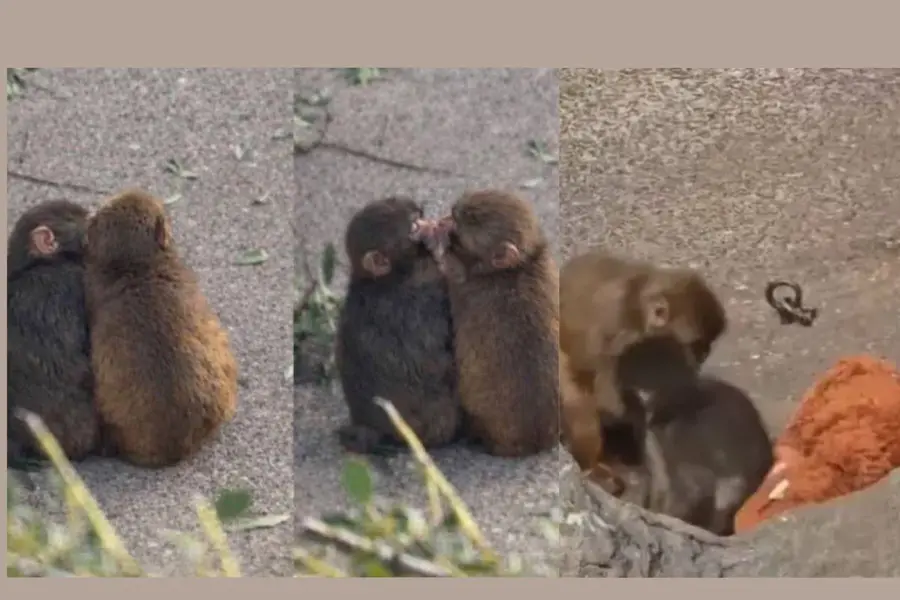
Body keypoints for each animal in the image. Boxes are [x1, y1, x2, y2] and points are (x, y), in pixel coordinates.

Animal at [418, 190, 559, 457]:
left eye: (468, 220)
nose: (449, 215)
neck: (519, 265)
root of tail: (536, 441)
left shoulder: (465, 286)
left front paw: (434, 237)